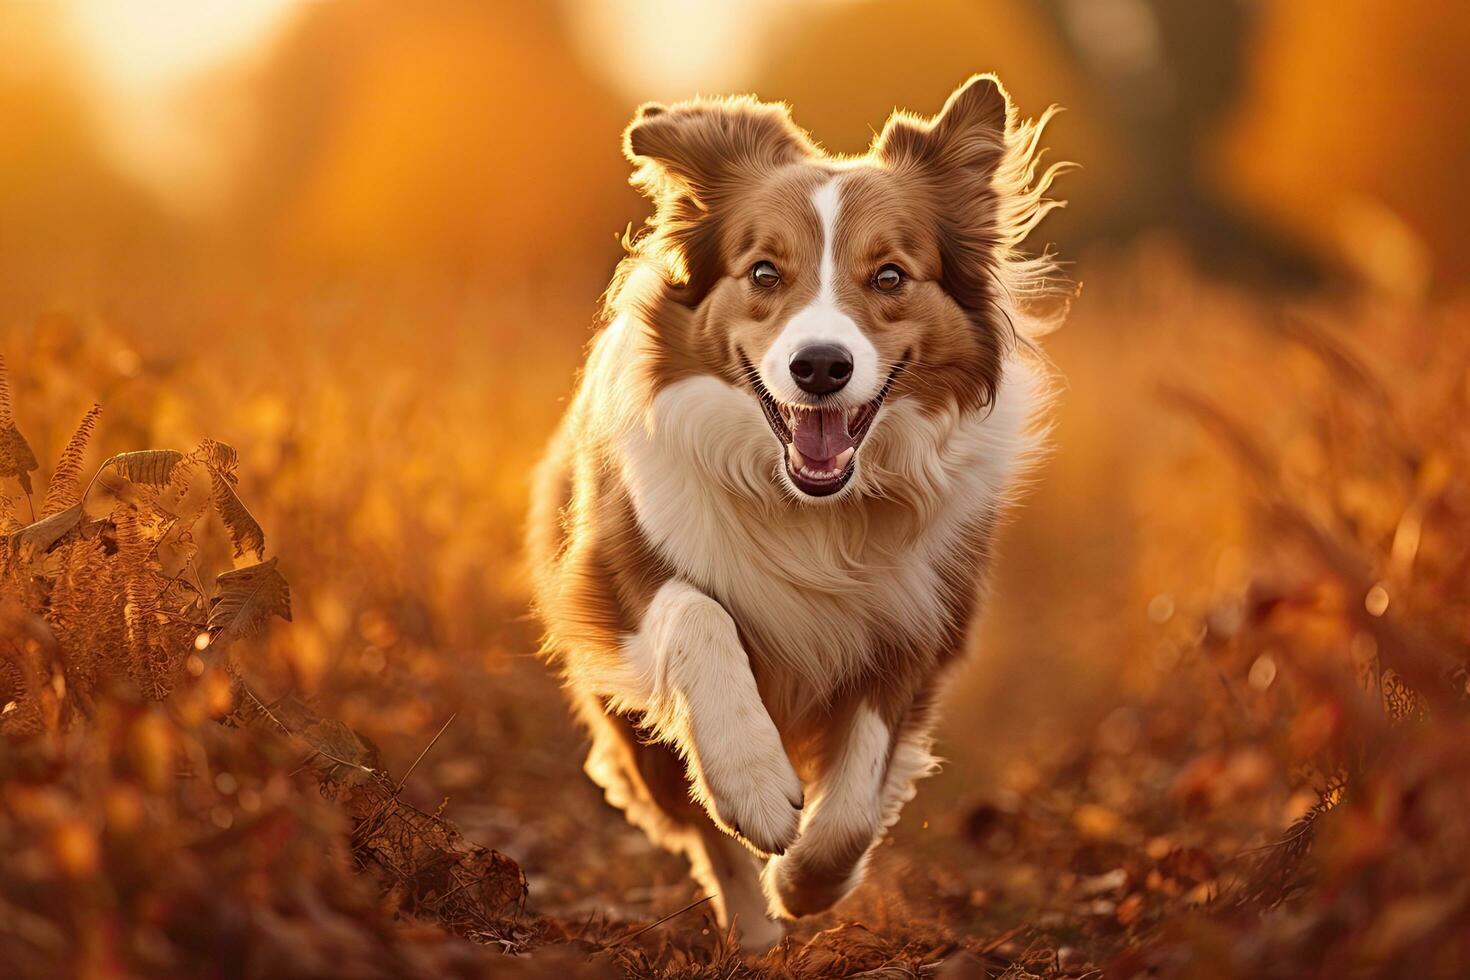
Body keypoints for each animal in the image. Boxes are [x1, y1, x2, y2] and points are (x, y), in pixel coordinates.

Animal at [529, 76, 1070, 952]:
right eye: (762, 271)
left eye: (889, 276)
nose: (820, 366)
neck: (812, 507)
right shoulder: (611, 579)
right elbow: (698, 614)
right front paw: (753, 784)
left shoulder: (915, 624)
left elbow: (855, 799)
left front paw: (808, 881)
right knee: (699, 825)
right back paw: (750, 931)